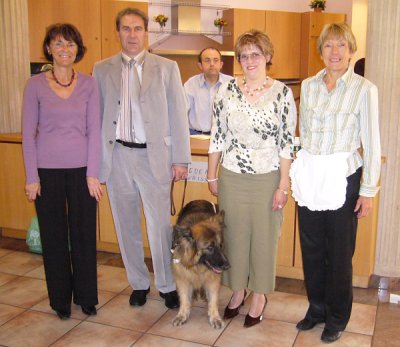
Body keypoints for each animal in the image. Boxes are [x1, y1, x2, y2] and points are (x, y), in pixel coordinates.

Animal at [170, 200, 230, 330]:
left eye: (220, 245)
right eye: (210, 247)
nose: (227, 266)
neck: (197, 266)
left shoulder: (213, 279)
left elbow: (213, 300)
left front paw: (215, 318)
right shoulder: (183, 278)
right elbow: (184, 298)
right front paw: (182, 315)